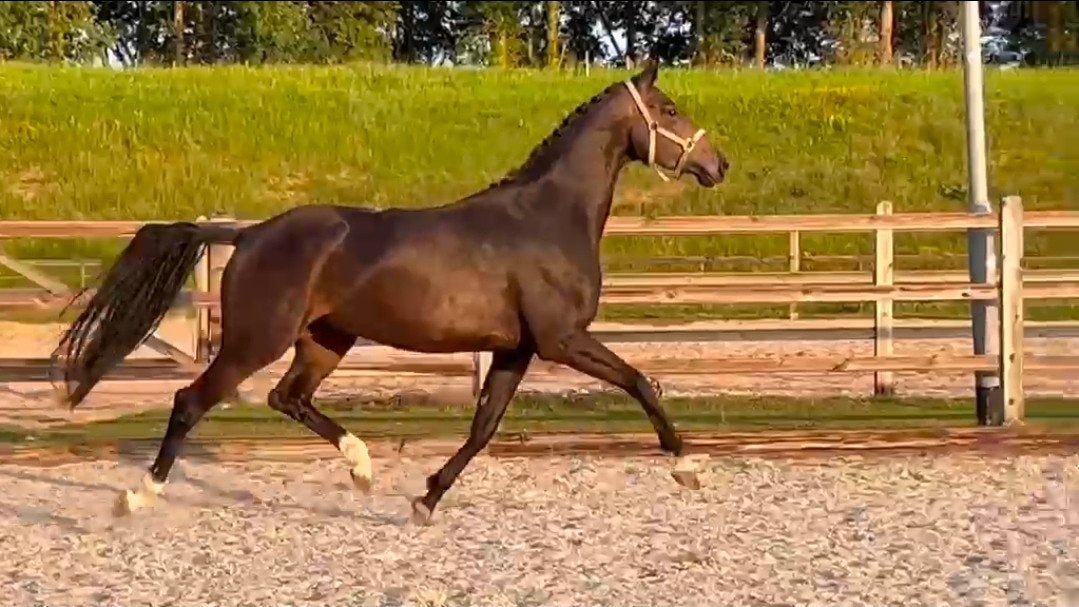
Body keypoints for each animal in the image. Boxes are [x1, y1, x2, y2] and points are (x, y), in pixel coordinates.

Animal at [53, 61, 729, 525]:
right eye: (669, 109)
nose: (716, 165)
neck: (547, 216)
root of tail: (249, 233)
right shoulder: (563, 340)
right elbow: (642, 382)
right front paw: (688, 468)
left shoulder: (517, 349)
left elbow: (484, 427)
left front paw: (426, 499)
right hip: (256, 340)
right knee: (191, 401)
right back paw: (138, 496)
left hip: (327, 340)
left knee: (287, 397)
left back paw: (362, 466)